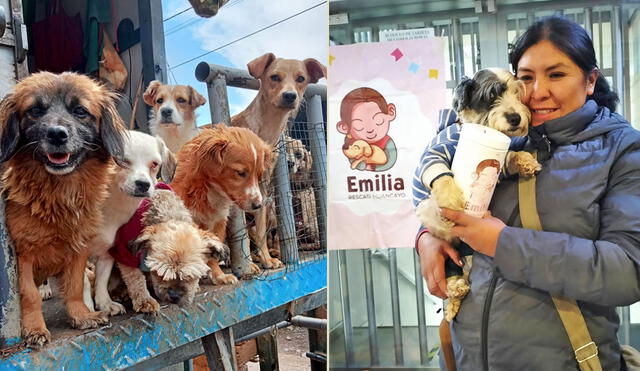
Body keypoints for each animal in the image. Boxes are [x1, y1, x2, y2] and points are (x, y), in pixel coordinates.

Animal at [0, 71, 125, 348]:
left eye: (80, 111)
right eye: (35, 110)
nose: (57, 134)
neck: (59, 194)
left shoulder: (79, 248)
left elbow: (76, 285)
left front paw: (81, 316)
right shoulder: (23, 254)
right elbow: (29, 294)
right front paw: (34, 329)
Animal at [88, 131, 175, 316]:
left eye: (154, 164)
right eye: (121, 161)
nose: (143, 184)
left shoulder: (109, 247)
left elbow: (102, 277)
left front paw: (104, 303)